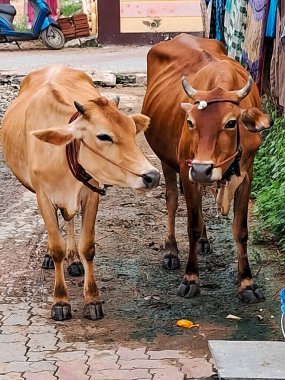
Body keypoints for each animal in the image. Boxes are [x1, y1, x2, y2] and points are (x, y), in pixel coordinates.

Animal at [1, 65, 159, 320]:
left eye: (133, 131)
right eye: (103, 136)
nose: (152, 176)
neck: (62, 154)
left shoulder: (91, 194)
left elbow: (88, 247)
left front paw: (92, 299)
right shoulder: (43, 196)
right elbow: (56, 247)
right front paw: (60, 300)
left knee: (69, 220)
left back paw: (73, 259)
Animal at [142, 34, 270, 304]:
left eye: (231, 123)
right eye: (190, 122)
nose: (202, 169)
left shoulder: (247, 174)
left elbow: (241, 230)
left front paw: (247, 283)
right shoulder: (186, 169)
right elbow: (189, 224)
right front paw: (191, 279)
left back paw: (204, 239)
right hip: (169, 161)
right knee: (172, 200)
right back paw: (171, 251)